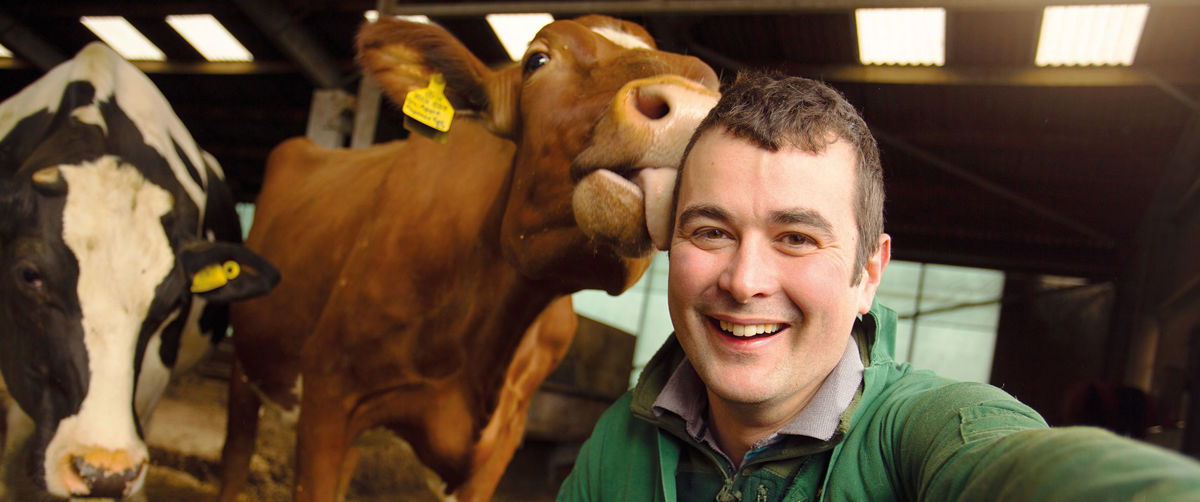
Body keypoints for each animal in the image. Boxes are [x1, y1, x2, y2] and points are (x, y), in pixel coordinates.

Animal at [216, 15, 715, 502]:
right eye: (537, 60)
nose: (692, 107)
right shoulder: (327, 396)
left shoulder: (502, 442)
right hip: (246, 360)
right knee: (235, 455)